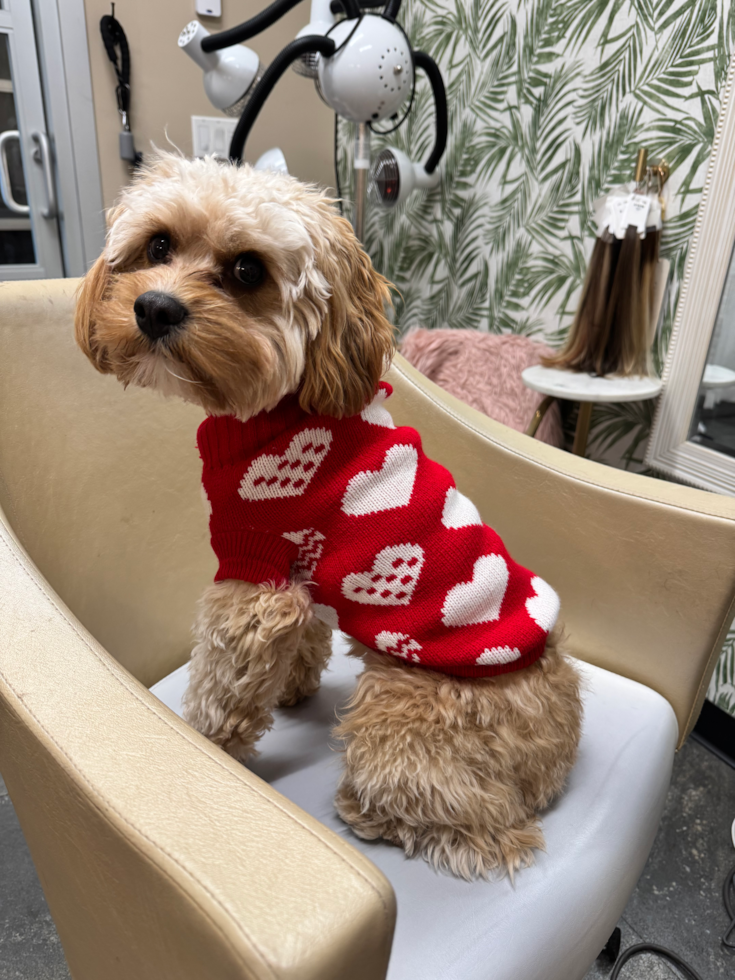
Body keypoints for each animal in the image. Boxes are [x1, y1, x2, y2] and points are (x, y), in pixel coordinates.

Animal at [75, 151, 580, 880]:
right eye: (159, 245)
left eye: (247, 270)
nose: (154, 306)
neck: (279, 407)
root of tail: (557, 753)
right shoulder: (297, 565)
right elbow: (306, 631)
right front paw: (293, 687)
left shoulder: (253, 568)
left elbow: (222, 684)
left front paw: (203, 746)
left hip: (401, 725)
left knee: (491, 831)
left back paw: (372, 814)